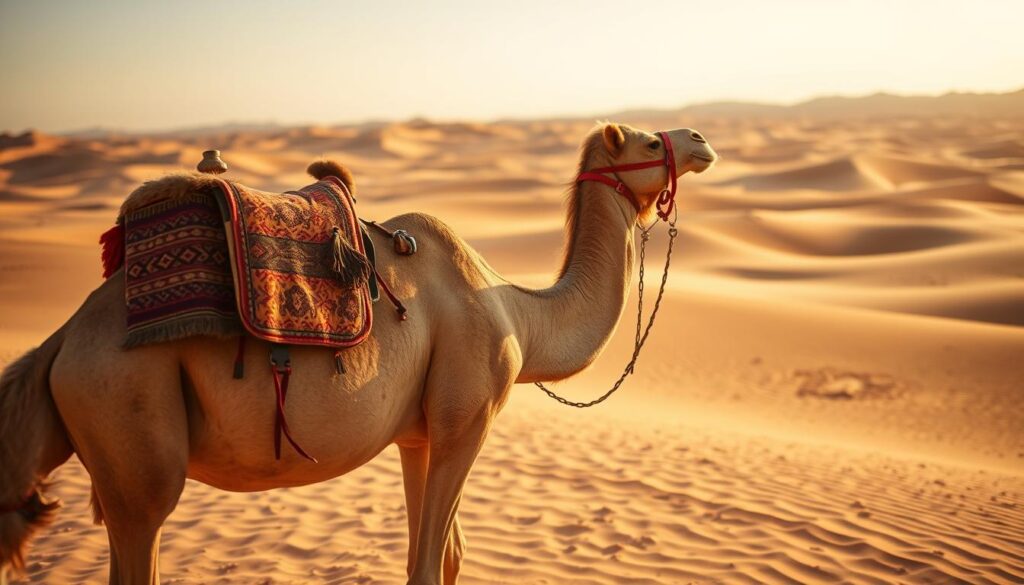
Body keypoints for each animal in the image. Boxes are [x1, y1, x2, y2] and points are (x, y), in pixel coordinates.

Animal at [0, 122, 716, 585]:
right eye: (649, 141)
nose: (701, 140)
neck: (518, 314)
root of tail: (62, 341)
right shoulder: (466, 417)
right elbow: (429, 563)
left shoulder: (420, 435)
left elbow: (443, 556)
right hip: (130, 419)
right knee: (144, 526)